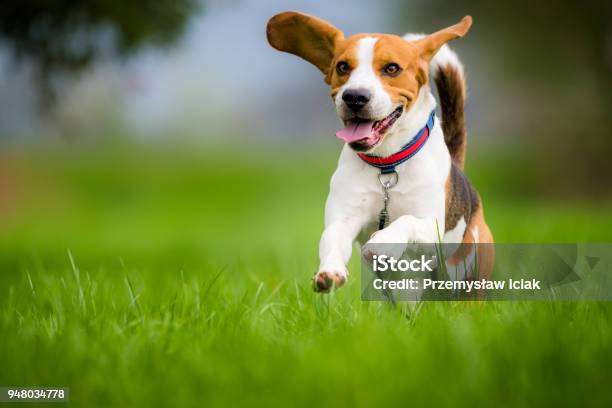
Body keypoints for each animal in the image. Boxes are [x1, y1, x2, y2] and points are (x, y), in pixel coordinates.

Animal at [266, 11, 492, 292]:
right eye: (342, 67)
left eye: (391, 68)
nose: (355, 96)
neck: (387, 165)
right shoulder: (343, 218)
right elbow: (333, 239)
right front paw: (330, 271)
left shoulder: (432, 226)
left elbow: (407, 221)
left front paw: (381, 243)